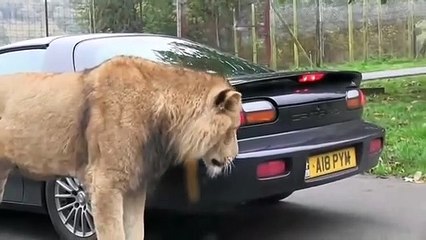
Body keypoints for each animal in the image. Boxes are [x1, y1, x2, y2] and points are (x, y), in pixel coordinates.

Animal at [0, 54, 241, 240]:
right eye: (232, 129)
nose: (233, 157)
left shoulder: (135, 187)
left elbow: (136, 232)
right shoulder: (105, 184)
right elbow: (114, 234)